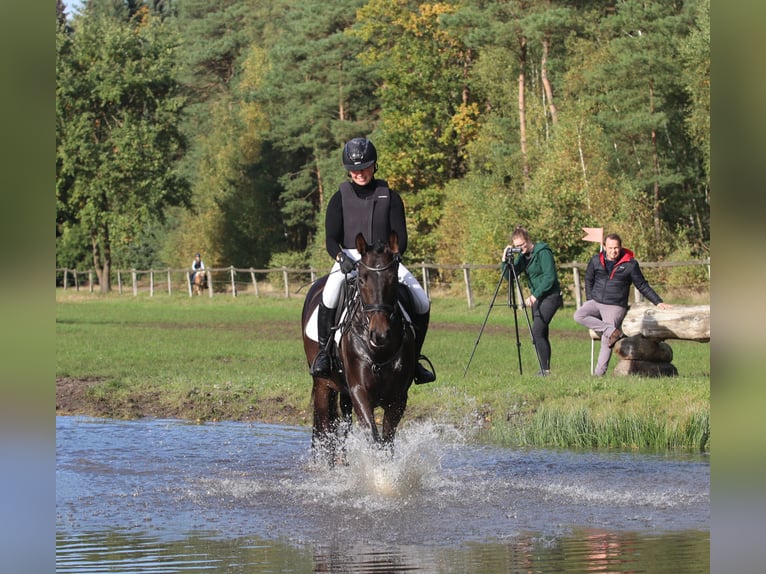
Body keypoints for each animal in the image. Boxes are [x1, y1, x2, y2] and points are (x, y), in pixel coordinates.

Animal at [302, 232, 420, 466]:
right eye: (363, 279)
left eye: (392, 279)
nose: (379, 334)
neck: (379, 352)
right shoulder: (360, 392)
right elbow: (373, 438)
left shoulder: (398, 398)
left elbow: (387, 442)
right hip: (323, 384)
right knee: (326, 427)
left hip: (343, 390)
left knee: (343, 425)